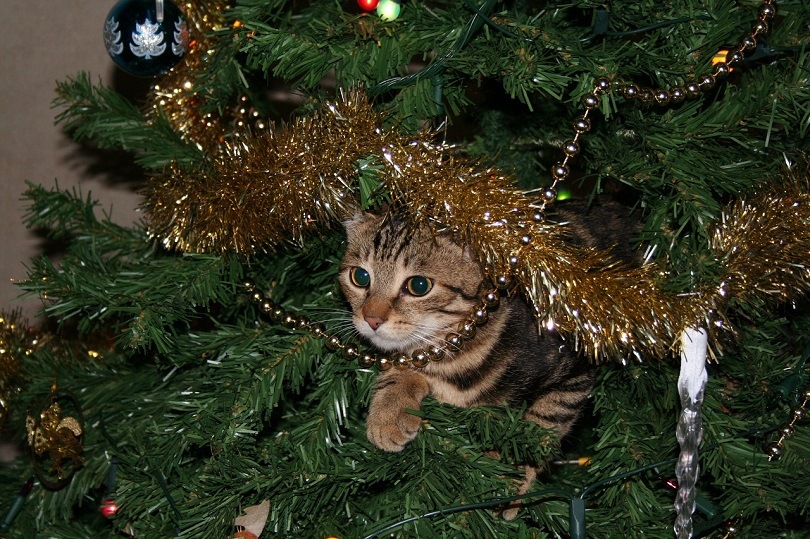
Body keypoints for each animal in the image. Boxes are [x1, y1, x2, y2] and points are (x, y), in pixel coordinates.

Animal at [334, 202, 636, 456]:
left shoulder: (575, 370)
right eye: (360, 276)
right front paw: (389, 410)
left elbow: (537, 432)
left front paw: (507, 480)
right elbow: (403, 363)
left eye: (418, 286)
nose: (372, 318)